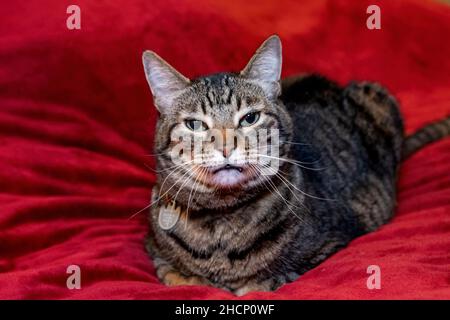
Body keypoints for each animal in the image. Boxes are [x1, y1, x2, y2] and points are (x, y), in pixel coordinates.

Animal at [141, 35, 450, 296]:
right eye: (195, 125)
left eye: (250, 118)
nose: (226, 147)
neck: (221, 217)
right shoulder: (155, 251)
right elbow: (178, 275)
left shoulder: (330, 246)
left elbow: (261, 282)